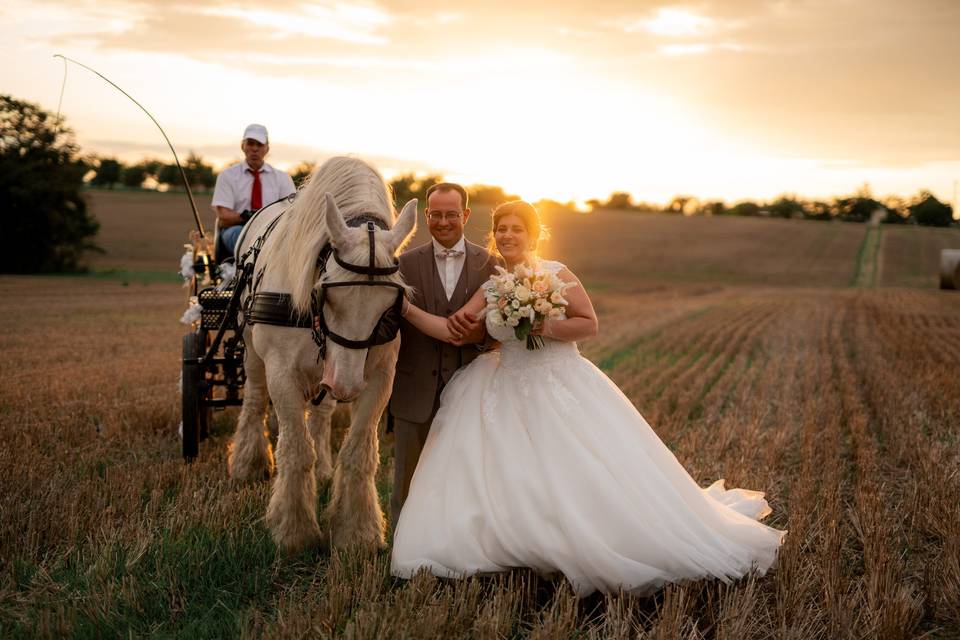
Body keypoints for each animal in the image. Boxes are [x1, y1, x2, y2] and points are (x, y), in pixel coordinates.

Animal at [231, 158, 418, 552]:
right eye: (327, 292)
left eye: (392, 302)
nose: (346, 386)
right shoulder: (281, 372)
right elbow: (296, 448)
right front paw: (294, 531)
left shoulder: (379, 375)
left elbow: (359, 452)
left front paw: (358, 532)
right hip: (253, 349)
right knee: (254, 401)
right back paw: (247, 463)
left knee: (320, 414)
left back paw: (322, 469)